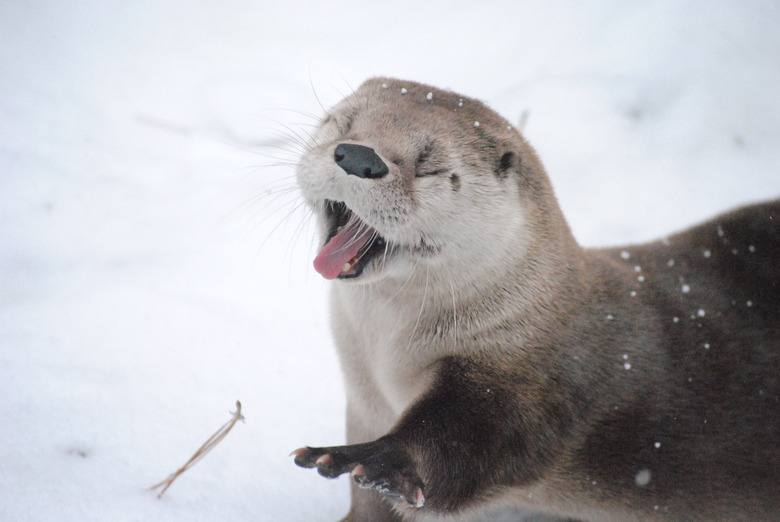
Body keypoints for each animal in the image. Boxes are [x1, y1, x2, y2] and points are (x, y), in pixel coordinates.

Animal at [290, 77, 776, 520]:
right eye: (342, 123)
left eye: (430, 166)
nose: (359, 156)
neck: (387, 354)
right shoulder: (364, 401)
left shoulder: (533, 385)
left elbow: (468, 441)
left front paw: (367, 459)